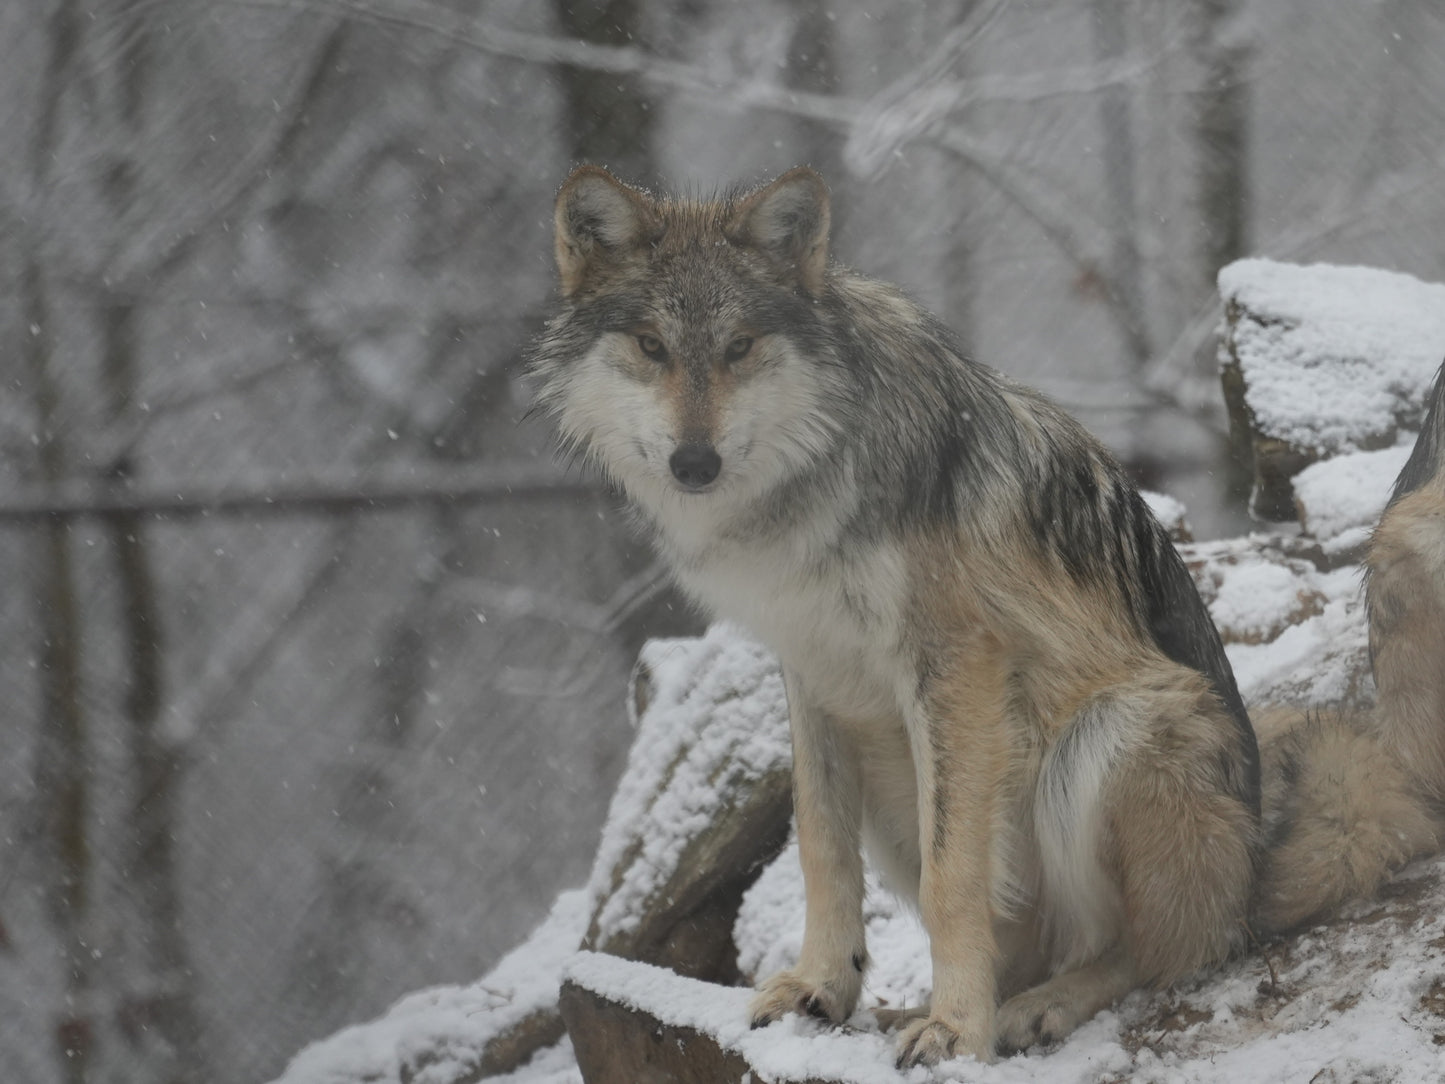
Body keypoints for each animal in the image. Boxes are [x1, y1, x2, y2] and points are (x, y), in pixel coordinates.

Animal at [530, 165, 1445, 1066]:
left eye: (738, 347)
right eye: (651, 346)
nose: (694, 462)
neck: (803, 493)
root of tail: (1253, 864)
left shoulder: (952, 663)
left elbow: (953, 879)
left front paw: (956, 1031)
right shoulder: (808, 665)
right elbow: (822, 849)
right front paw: (820, 987)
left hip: (1112, 731)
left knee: (1160, 951)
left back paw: (1034, 1007)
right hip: (894, 770)